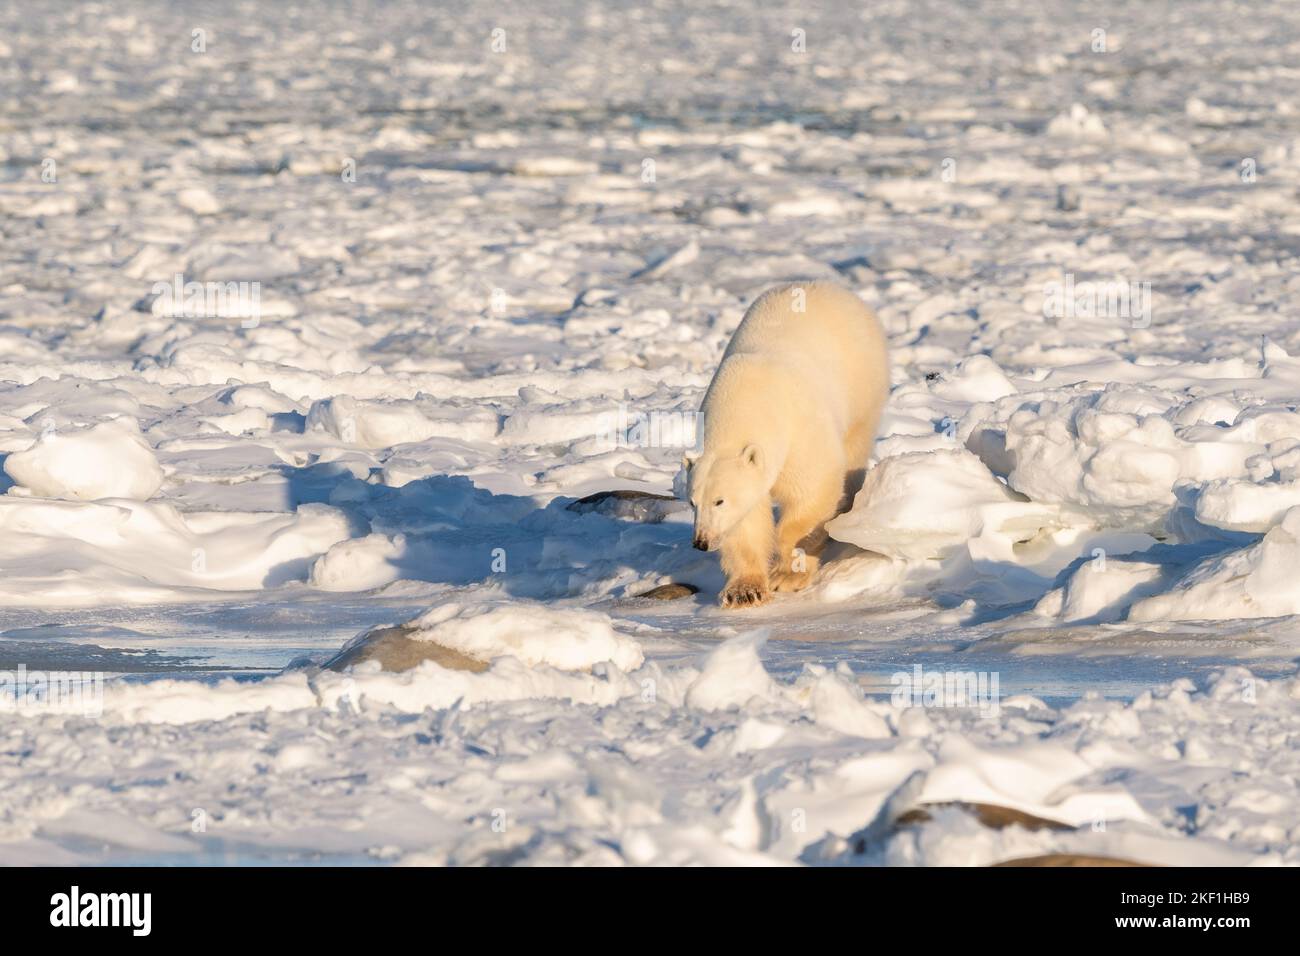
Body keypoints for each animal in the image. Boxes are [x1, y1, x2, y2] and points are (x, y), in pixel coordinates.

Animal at [684, 282, 890, 608]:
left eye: (719, 500)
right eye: (692, 502)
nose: (701, 542)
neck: (748, 398)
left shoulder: (800, 430)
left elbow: (812, 492)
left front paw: (787, 571)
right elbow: (747, 521)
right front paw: (745, 591)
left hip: (863, 383)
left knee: (854, 448)